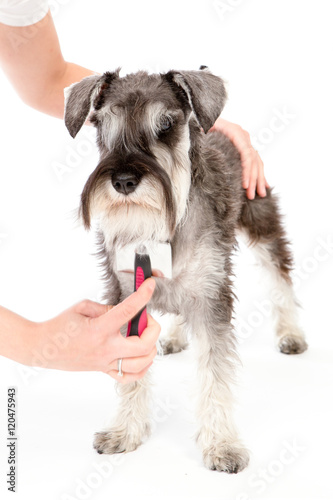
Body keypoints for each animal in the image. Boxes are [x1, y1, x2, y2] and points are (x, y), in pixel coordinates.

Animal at [63, 67, 308, 472]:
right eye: (102, 125)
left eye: (166, 124)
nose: (124, 181)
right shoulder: (127, 297)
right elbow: (130, 372)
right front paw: (124, 431)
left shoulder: (211, 297)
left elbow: (215, 374)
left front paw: (222, 445)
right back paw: (176, 336)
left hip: (261, 224)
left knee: (280, 277)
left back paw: (291, 334)